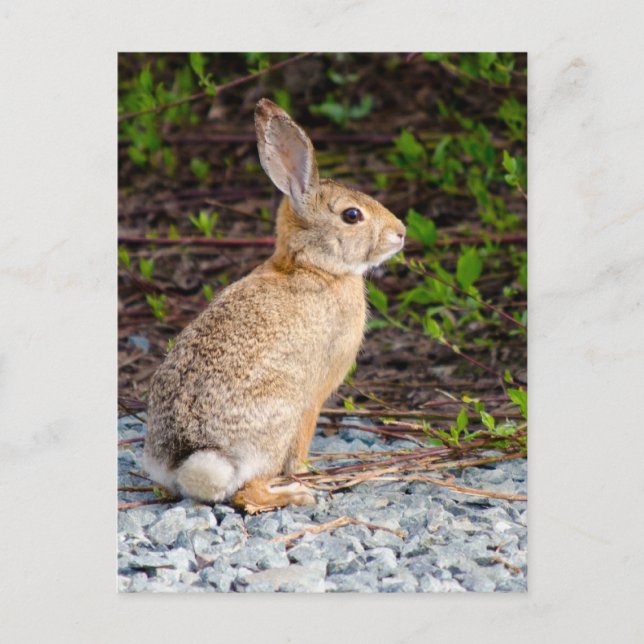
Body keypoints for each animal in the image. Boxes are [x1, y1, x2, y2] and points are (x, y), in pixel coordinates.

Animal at [143, 98, 406, 513]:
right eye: (352, 215)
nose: (401, 233)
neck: (315, 266)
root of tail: (188, 459)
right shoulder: (314, 396)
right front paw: (306, 471)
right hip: (277, 420)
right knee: (246, 492)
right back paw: (294, 494)